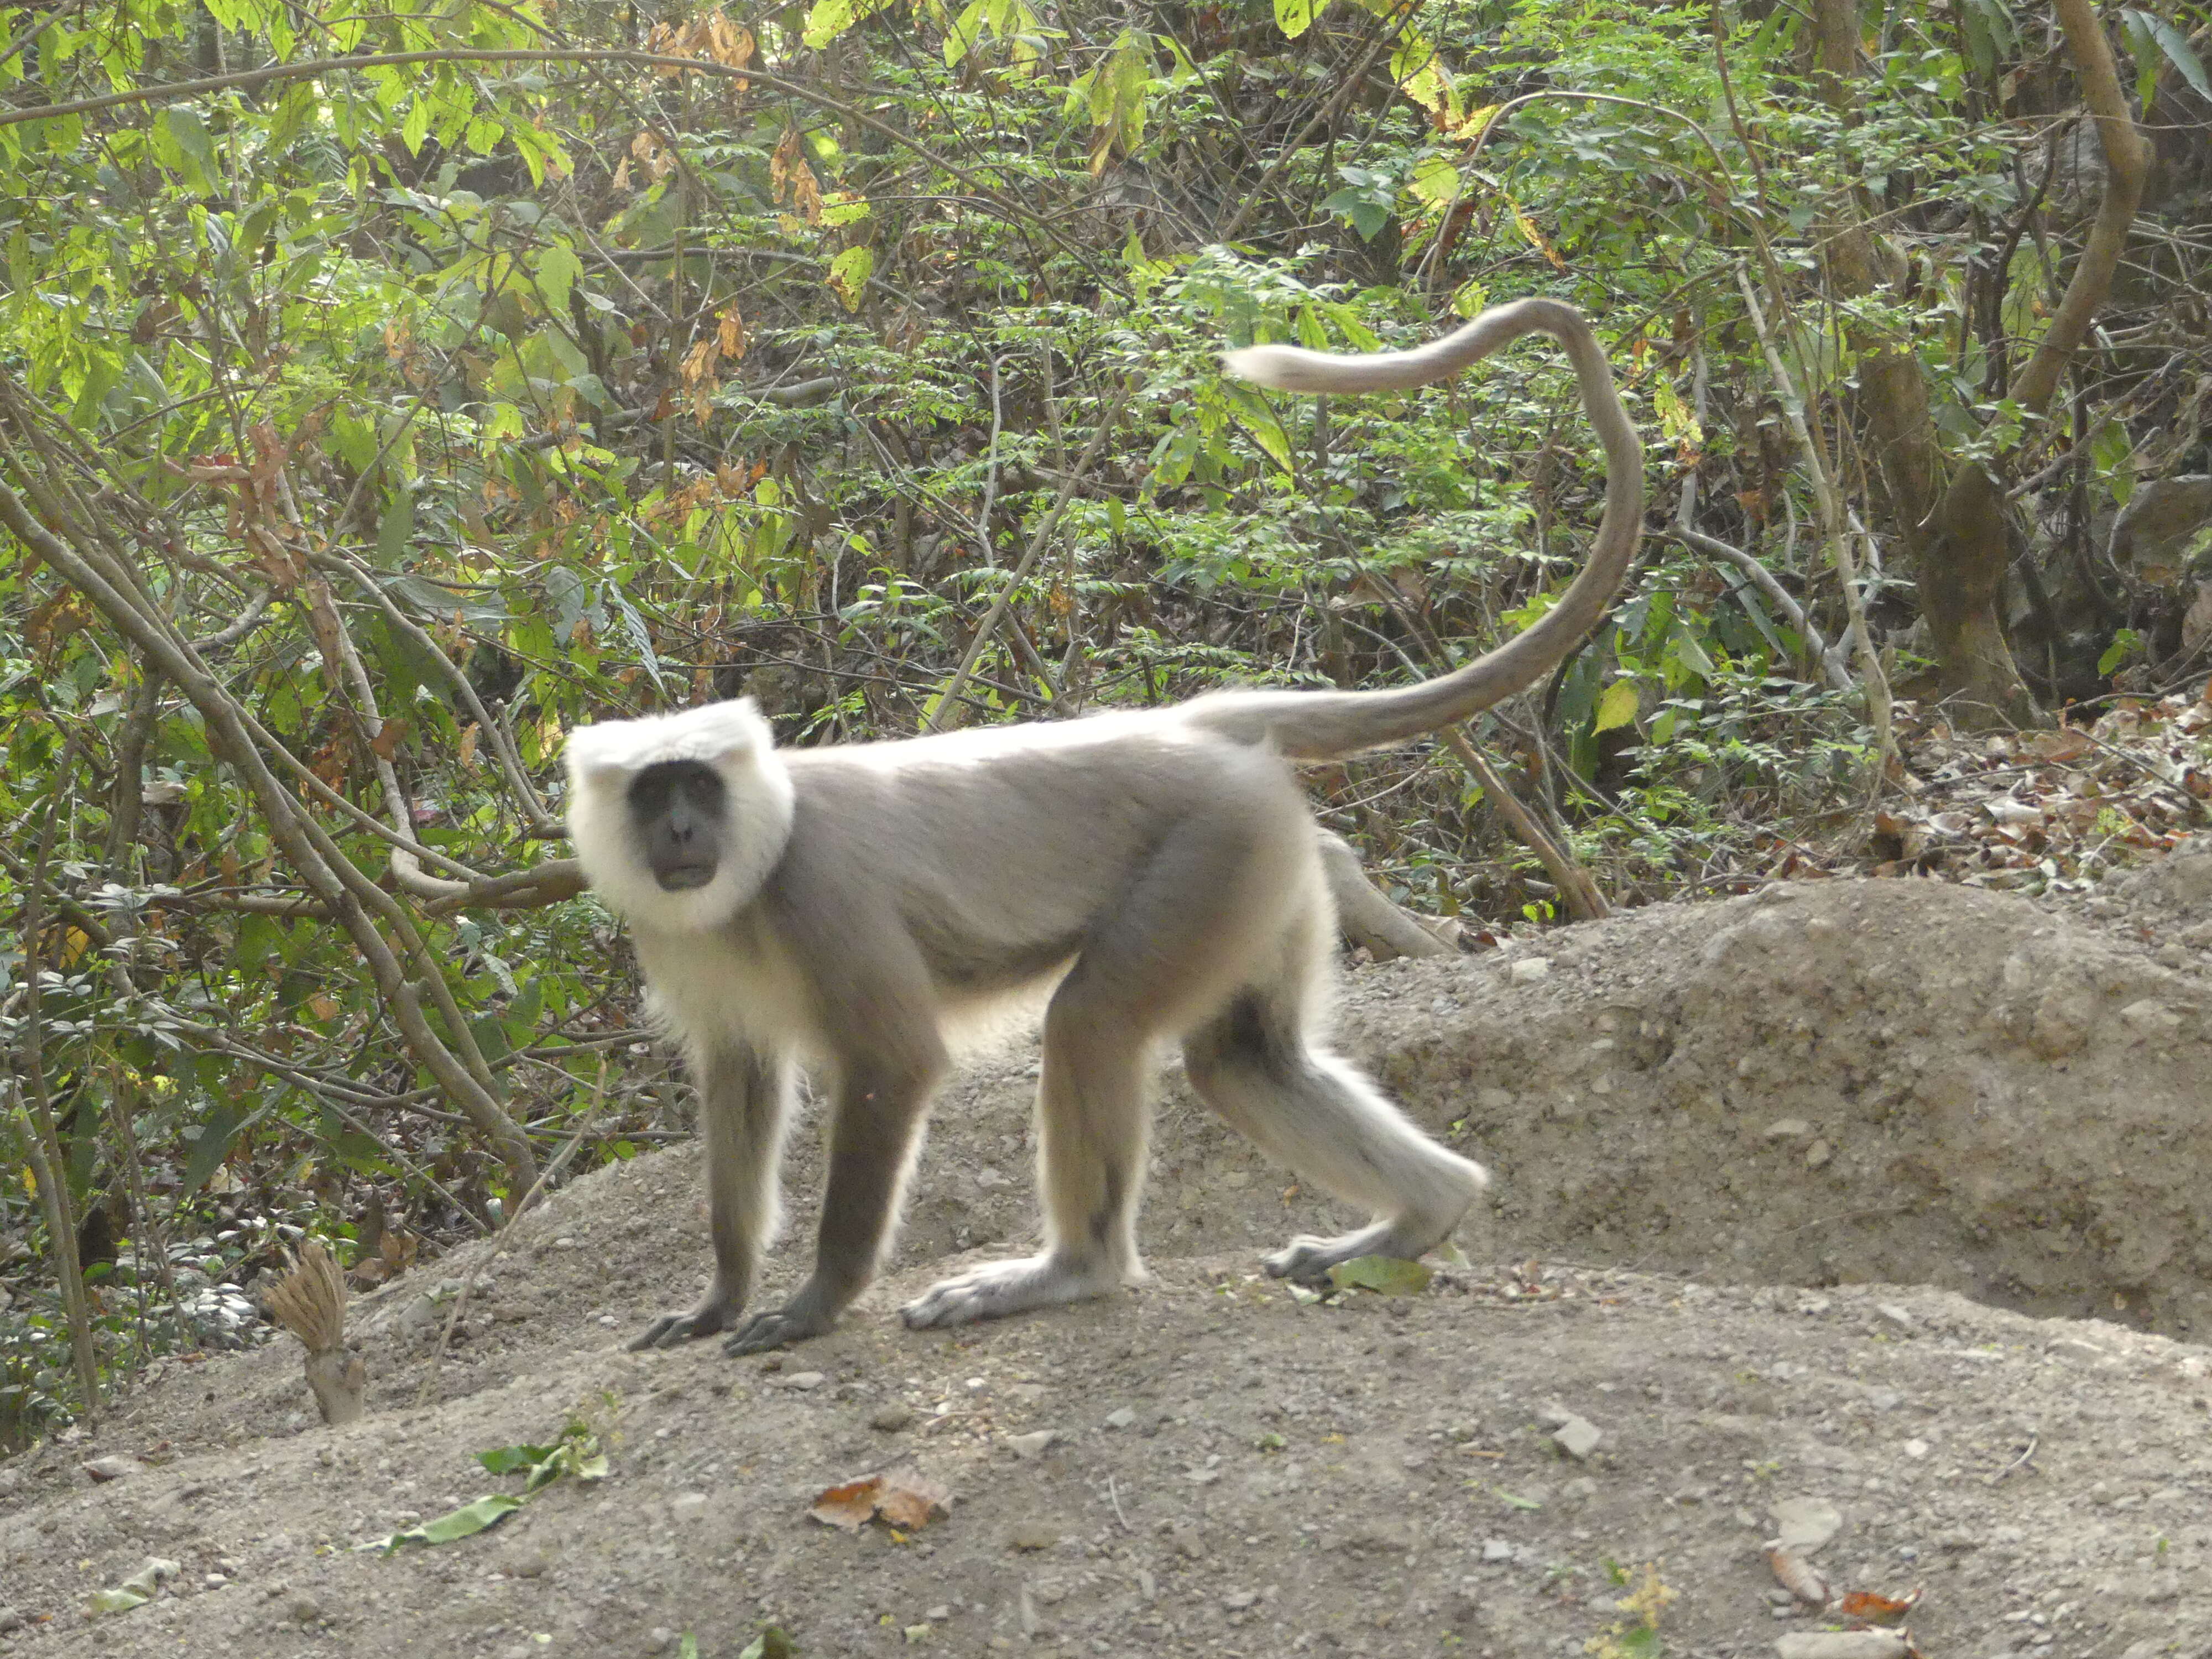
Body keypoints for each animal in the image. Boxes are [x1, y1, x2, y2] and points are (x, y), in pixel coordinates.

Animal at [571, 303, 1646, 1363]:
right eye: (655, 793)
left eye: (698, 785)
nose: (680, 829)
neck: (762, 851)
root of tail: (1196, 726)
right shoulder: (678, 936)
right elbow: (741, 1078)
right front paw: (721, 1296)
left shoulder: (818, 889)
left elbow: (896, 1063)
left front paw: (818, 1303)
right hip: (1263, 862)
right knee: (1245, 1059)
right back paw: (1420, 1216)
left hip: (1213, 854)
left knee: (1093, 1023)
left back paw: (1073, 1272)